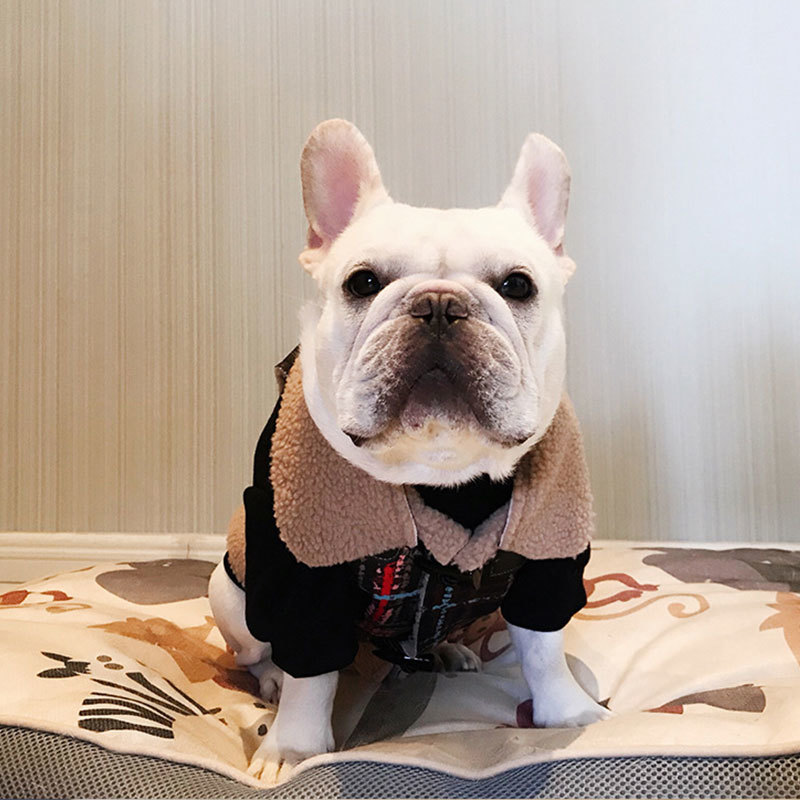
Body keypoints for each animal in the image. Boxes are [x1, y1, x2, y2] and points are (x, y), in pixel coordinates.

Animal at [209, 119, 610, 782]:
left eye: (518, 285)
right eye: (363, 282)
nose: (440, 305)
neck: (441, 468)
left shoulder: (549, 555)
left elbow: (545, 648)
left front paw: (569, 715)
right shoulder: (304, 575)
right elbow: (310, 674)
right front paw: (294, 748)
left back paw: (446, 651)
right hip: (231, 596)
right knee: (258, 653)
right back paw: (270, 682)